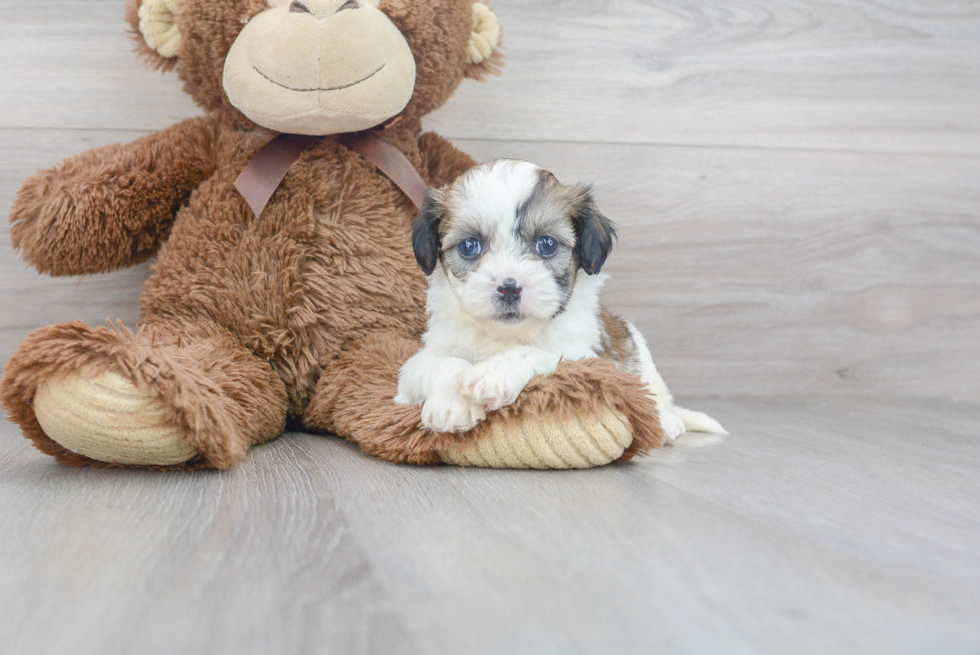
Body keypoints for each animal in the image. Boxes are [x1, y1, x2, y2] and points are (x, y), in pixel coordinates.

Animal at [394, 159, 724, 440]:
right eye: (469, 246)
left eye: (547, 244)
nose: (509, 288)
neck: (507, 335)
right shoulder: (420, 361)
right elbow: (440, 362)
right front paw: (451, 401)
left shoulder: (587, 360)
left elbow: (538, 353)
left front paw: (492, 375)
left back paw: (667, 421)